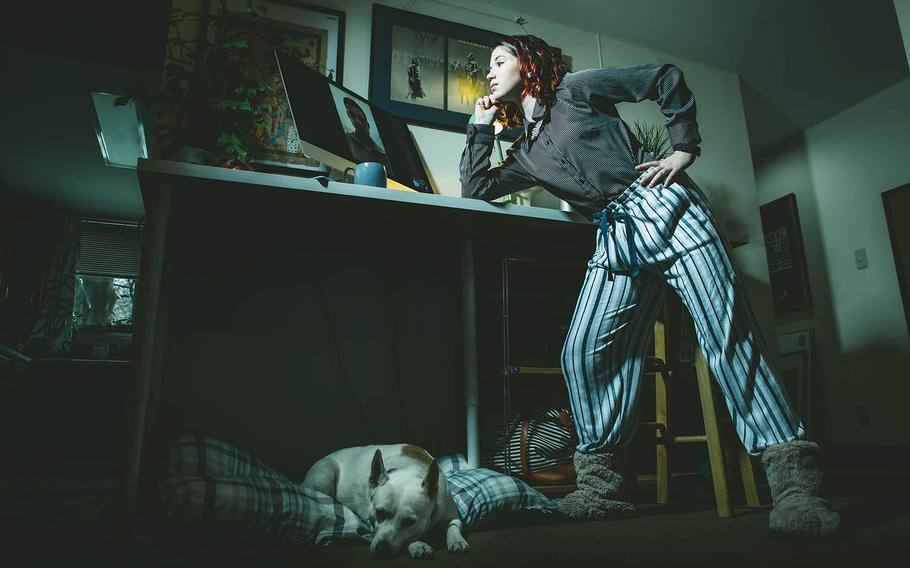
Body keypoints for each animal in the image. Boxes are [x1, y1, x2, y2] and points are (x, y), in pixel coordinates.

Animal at [302, 444, 470, 560]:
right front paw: (418, 545)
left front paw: (456, 540)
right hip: (325, 473)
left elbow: (454, 525)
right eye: (379, 513)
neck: (410, 471)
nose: (382, 549)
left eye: (410, 522)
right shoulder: (371, 521)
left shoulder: (449, 513)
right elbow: (410, 537)